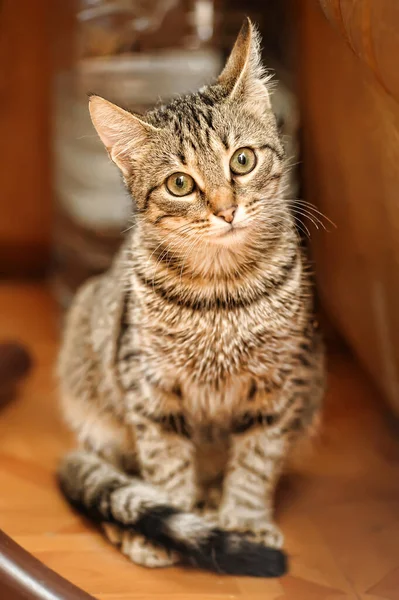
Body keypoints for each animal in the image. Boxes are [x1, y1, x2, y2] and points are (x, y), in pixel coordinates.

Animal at [57, 18, 326, 576]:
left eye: (242, 160)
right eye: (180, 184)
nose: (225, 210)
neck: (220, 292)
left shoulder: (279, 386)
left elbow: (256, 461)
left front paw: (243, 520)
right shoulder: (150, 387)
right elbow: (166, 465)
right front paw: (170, 523)